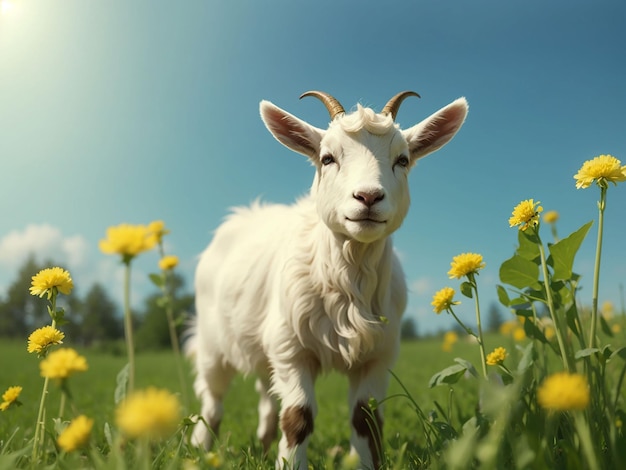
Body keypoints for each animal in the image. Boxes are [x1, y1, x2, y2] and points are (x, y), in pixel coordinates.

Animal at [188, 90, 466, 468]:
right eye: (327, 158)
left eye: (403, 160)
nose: (368, 197)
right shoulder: (292, 349)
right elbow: (298, 417)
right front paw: (290, 463)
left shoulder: (378, 355)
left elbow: (366, 419)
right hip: (213, 342)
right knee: (212, 400)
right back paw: (200, 449)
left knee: (265, 394)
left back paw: (263, 445)